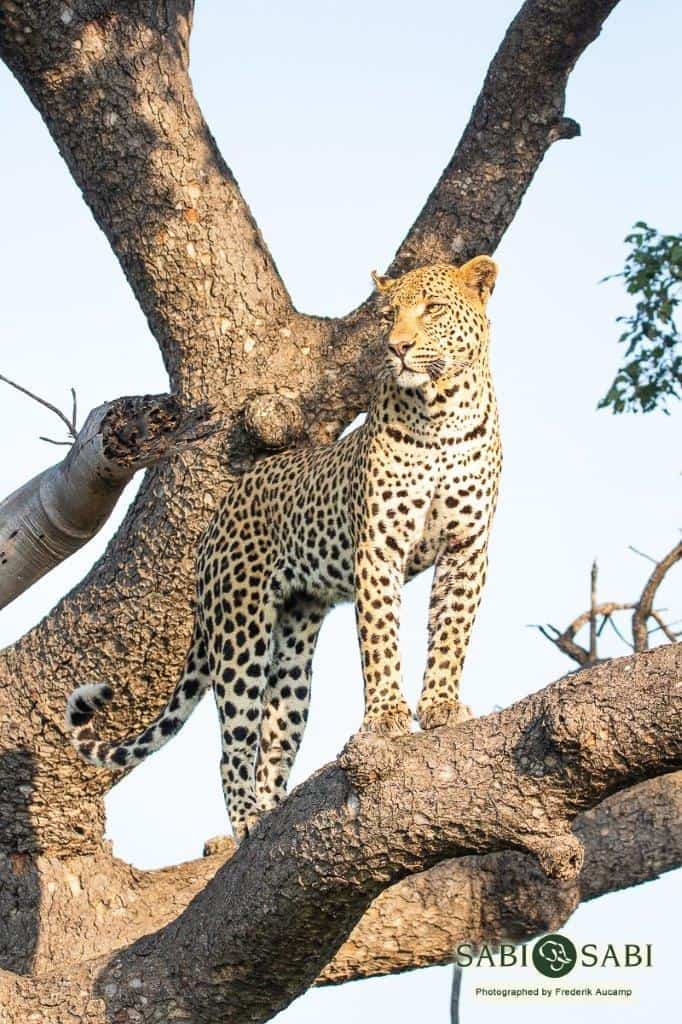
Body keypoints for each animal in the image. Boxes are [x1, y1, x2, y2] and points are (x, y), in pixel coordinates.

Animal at [66, 255, 502, 843]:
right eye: (387, 315)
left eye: (431, 308)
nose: (398, 347)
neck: (443, 414)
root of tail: (217, 516)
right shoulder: (378, 547)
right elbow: (381, 641)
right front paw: (387, 716)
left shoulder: (466, 545)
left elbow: (451, 633)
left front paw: (441, 706)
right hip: (239, 629)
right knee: (232, 745)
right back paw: (247, 822)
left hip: (295, 642)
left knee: (275, 736)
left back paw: (272, 813)